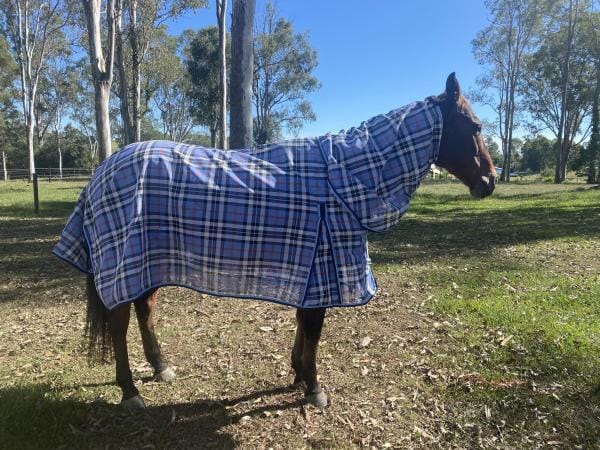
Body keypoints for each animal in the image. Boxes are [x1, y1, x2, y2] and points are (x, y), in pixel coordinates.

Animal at [55, 73, 496, 408]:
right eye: (474, 127)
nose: (489, 182)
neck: (342, 178)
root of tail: (101, 172)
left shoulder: (312, 273)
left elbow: (304, 323)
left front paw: (298, 375)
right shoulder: (322, 272)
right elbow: (313, 328)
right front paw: (313, 388)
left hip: (146, 263)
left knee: (144, 310)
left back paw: (161, 368)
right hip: (121, 264)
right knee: (118, 322)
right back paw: (130, 392)